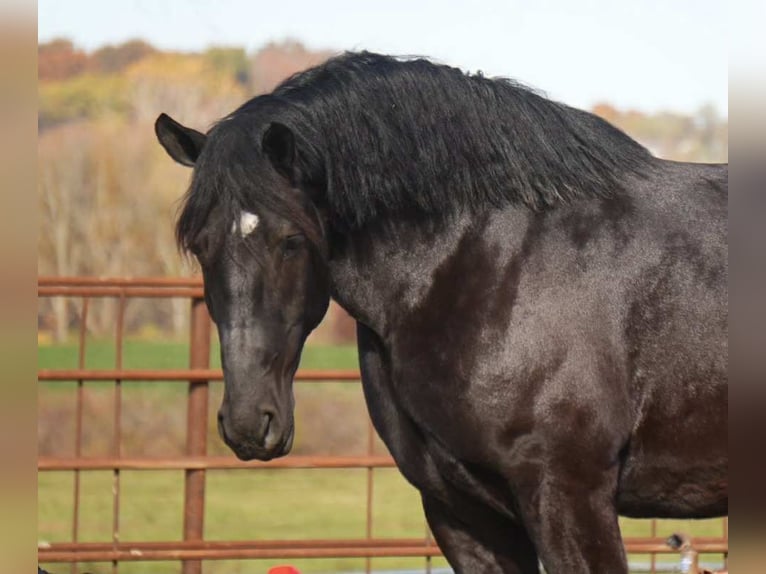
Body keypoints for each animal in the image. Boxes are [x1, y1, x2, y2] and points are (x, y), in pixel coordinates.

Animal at [155, 52, 728, 573]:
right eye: (201, 245)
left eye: (290, 241)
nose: (249, 423)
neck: (497, 261)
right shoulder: (463, 514)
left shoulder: (569, 494)